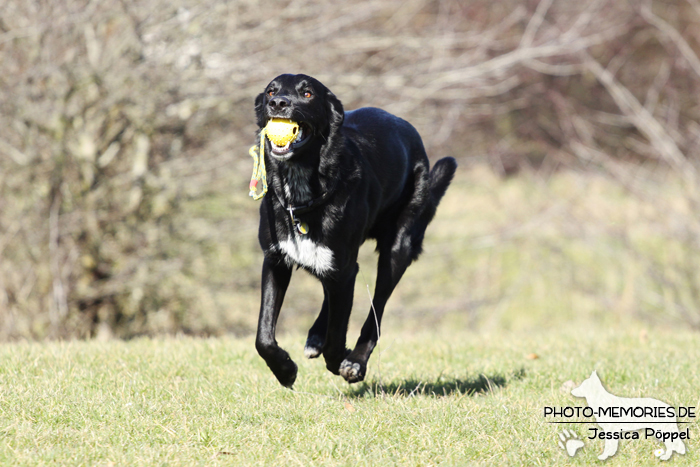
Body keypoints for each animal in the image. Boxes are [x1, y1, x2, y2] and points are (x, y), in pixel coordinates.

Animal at [254, 74, 456, 388]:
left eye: (308, 93)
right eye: (270, 91)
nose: (278, 103)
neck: (301, 190)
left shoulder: (343, 267)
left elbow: (337, 336)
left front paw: (341, 360)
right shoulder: (276, 260)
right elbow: (263, 335)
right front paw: (285, 370)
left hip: (397, 250)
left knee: (377, 309)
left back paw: (355, 359)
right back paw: (315, 337)